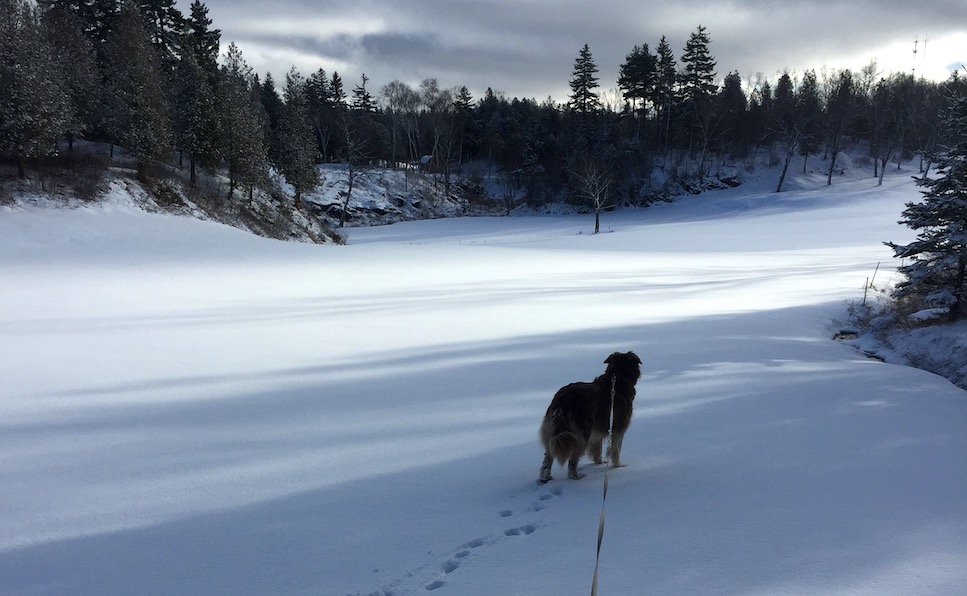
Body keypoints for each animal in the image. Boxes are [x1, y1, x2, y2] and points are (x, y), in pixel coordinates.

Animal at [536, 352, 644, 482]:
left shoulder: (596, 431)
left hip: (554, 433)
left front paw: (599, 462)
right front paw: (618, 465)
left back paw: (545, 478)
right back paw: (576, 477)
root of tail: (563, 400)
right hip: (580, 435)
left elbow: (597, 448)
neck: (618, 376)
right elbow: (616, 449)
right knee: (572, 461)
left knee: (547, 459)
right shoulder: (618, 427)